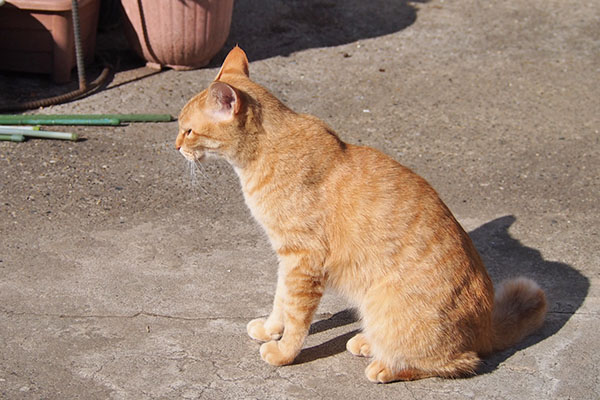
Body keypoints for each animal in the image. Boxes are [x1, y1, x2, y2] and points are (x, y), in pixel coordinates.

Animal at [175, 46, 548, 382]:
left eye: (188, 130)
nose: (176, 146)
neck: (267, 151)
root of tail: (487, 327)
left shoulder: (303, 260)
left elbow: (296, 316)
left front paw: (283, 353)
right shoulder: (287, 259)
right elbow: (281, 301)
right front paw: (270, 329)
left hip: (394, 312)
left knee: (459, 362)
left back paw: (385, 367)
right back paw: (368, 342)